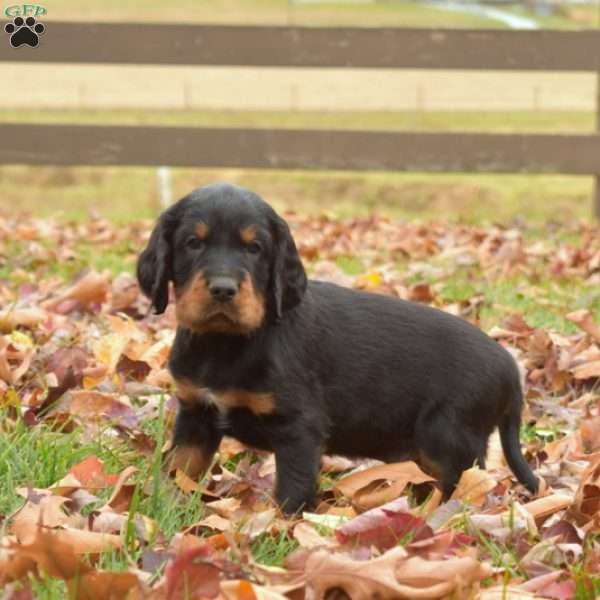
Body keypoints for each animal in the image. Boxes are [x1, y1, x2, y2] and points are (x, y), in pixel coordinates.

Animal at [137, 182, 540, 510]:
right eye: (193, 243)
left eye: (255, 248)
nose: (223, 289)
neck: (225, 343)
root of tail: (509, 366)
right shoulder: (196, 414)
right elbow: (179, 469)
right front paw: (164, 510)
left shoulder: (299, 427)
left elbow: (292, 490)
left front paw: (275, 530)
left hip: (450, 439)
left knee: (467, 486)